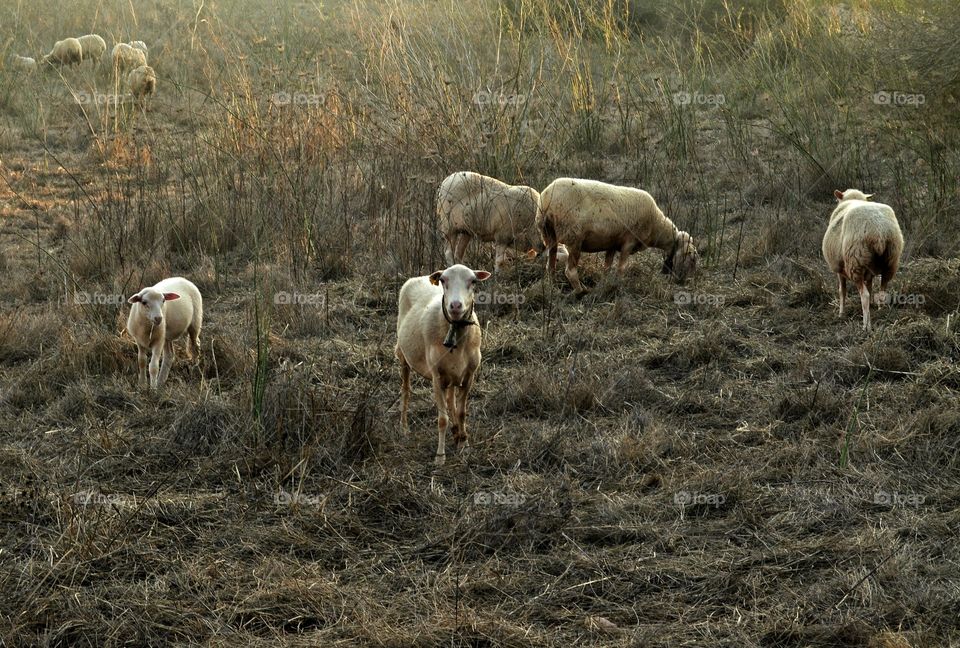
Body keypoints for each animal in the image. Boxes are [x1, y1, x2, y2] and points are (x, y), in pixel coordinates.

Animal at [394, 264, 492, 466]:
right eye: (443, 280)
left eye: (473, 281)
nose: (455, 306)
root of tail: (420, 276)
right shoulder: (436, 377)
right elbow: (442, 419)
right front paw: (440, 456)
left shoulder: (469, 375)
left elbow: (461, 412)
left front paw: (464, 445)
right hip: (403, 355)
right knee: (406, 390)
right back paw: (404, 427)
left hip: (453, 374)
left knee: (451, 400)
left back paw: (456, 433)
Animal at [436, 171, 568, 272]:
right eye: (557, 260)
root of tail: (447, 180)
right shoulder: (502, 236)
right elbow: (500, 261)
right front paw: (498, 275)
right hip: (449, 226)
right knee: (448, 253)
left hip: (466, 230)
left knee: (458, 253)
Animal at [540, 177, 696, 294]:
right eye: (691, 256)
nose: (685, 282)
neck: (656, 225)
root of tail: (547, 198)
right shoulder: (629, 242)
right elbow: (621, 268)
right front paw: (618, 288)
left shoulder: (612, 243)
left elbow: (607, 267)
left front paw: (603, 286)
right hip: (574, 238)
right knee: (570, 271)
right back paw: (580, 291)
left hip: (549, 234)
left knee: (550, 264)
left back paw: (552, 287)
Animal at [820, 186, 904, 330]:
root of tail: (878, 230)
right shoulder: (869, 272)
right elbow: (869, 286)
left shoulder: (839, 270)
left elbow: (842, 291)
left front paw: (841, 313)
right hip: (891, 260)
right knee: (882, 292)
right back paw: (881, 313)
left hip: (855, 262)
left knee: (864, 295)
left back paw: (866, 326)